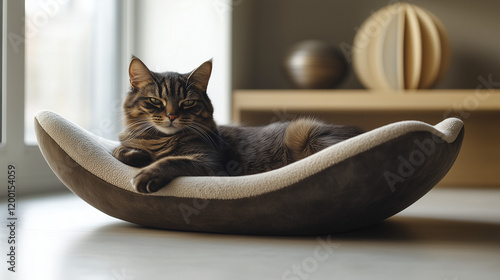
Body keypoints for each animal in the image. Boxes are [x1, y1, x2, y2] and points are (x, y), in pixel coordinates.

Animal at [114, 57, 364, 192]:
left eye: (188, 103)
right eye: (155, 101)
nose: (172, 115)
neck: (159, 140)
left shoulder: (209, 162)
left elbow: (172, 160)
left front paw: (147, 173)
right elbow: (119, 150)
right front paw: (137, 155)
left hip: (306, 132)